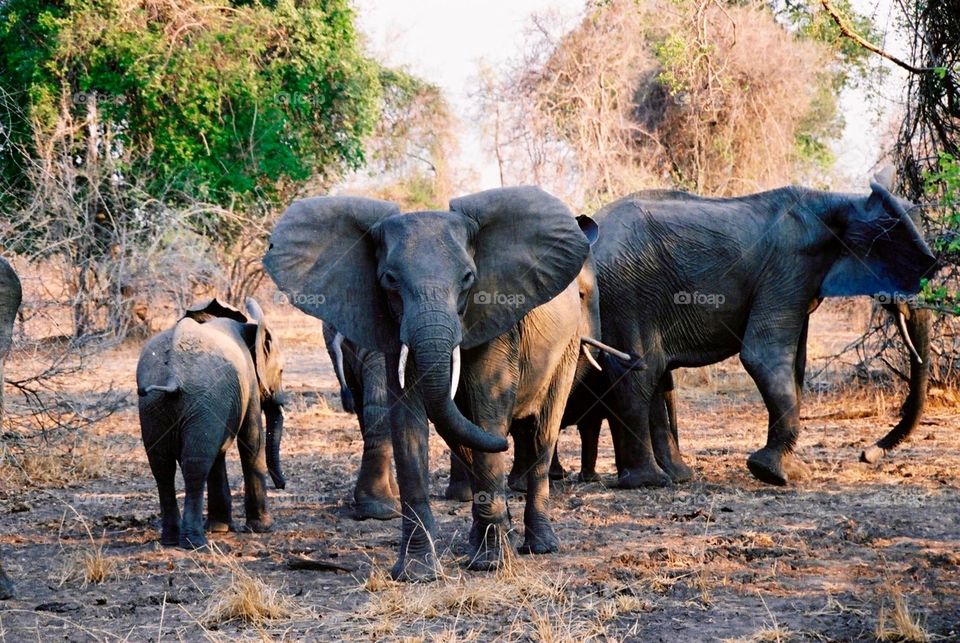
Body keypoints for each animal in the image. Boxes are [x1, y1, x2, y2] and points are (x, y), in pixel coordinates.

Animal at [137, 297, 286, 549]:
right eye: (282, 371)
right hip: (196, 399)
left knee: (162, 466)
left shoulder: (218, 403)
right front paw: (263, 528)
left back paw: (171, 539)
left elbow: (218, 451)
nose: (282, 486)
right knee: (196, 465)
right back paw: (195, 542)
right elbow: (251, 441)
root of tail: (172, 375)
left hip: (154, 405)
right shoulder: (246, 385)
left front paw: (220, 528)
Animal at [265, 186, 600, 581]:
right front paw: (416, 572)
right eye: (390, 280)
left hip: (569, 344)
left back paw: (538, 545)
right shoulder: (392, 327)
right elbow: (407, 421)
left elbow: (486, 409)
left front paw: (490, 565)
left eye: (468, 278)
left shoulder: (494, 314)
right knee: (462, 434)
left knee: (542, 431)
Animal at [563, 177, 937, 488]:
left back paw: (677, 477)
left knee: (656, 377)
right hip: (627, 291)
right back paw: (648, 483)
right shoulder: (789, 265)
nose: (866, 454)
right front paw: (771, 474)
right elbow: (764, 358)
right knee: (641, 371)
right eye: (901, 255)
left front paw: (792, 472)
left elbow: (795, 364)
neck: (841, 200)